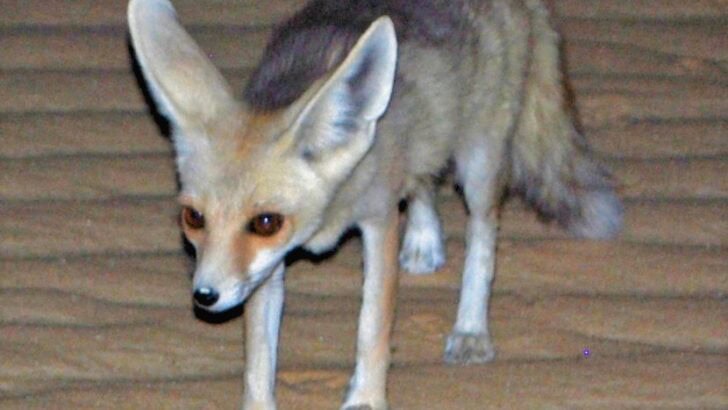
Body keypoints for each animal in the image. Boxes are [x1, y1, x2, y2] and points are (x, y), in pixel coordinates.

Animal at [128, 0, 622, 408]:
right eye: (193, 218)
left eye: (266, 222)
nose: (205, 296)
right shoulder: (265, 268)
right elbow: (258, 358)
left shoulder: (378, 220)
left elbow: (372, 326)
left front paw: (365, 399)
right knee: (423, 180)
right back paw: (423, 242)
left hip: (479, 161)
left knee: (483, 234)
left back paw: (470, 328)